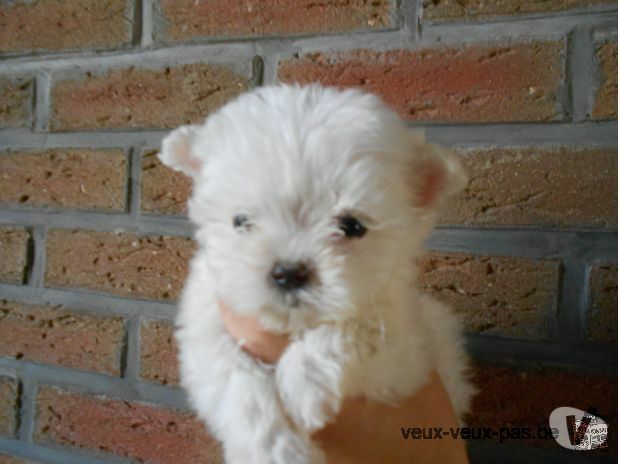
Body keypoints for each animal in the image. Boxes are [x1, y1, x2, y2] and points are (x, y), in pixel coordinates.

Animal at [157, 84, 472, 464]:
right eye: (241, 221)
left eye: (352, 226)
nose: (289, 273)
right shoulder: (206, 327)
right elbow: (237, 379)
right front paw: (277, 450)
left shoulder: (405, 354)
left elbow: (357, 326)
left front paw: (303, 385)